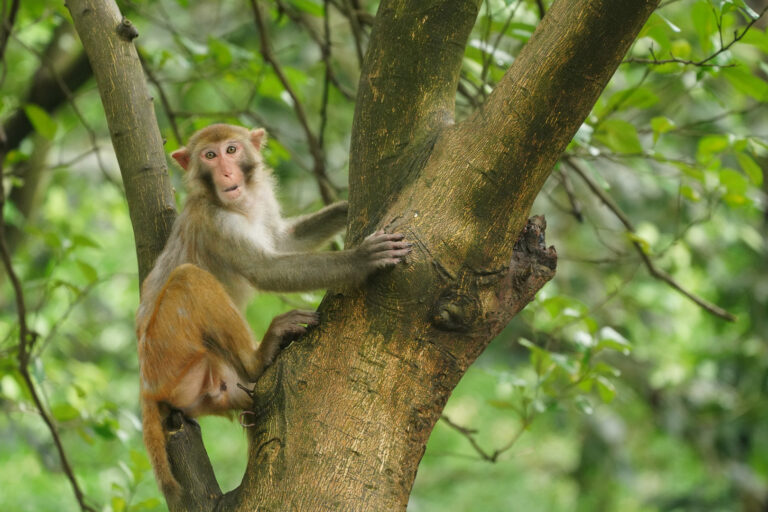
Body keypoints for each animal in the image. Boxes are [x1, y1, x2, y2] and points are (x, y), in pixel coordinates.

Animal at [136, 123, 411, 497]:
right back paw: (259, 356)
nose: (226, 172)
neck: (239, 205)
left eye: (232, 150)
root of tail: (146, 384)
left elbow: (284, 242)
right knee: (189, 279)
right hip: (169, 350)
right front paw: (361, 259)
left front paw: (344, 207)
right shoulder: (216, 222)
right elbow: (264, 269)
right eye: (210, 155)